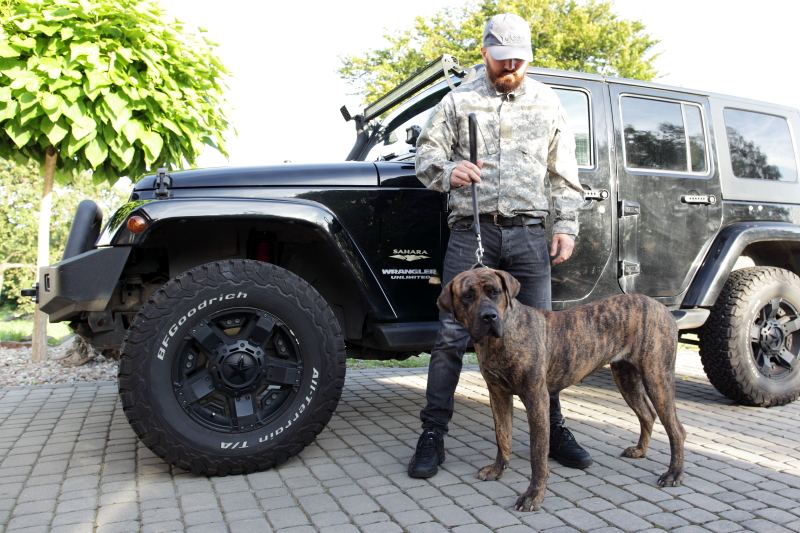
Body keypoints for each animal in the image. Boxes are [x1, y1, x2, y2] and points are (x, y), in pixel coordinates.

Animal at [438, 270, 688, 512]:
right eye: (467, 296)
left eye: (495, 292)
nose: (489, 316)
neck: (500, 339)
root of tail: (660, 306)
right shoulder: (498, 394)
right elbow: (503, 436)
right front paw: (498, 469)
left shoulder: (536, 398)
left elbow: (538, 453)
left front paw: (533, 495)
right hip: (626, 377)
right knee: (647, 414)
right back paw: (640, 450)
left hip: (657, 376)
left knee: (676, 429)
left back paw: (673, 473)